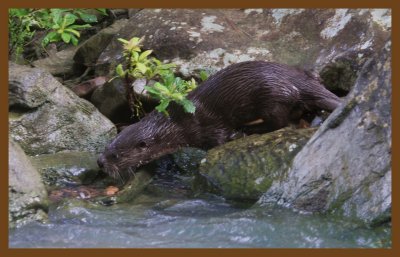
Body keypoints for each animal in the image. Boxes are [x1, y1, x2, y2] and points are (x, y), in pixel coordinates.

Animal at [97, 61, 340, 179]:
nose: (99, 162)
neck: (175, 124)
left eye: (116, 155)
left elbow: (221, 138)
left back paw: (253, 130)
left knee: (281, 122)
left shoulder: (208, 128)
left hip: (272, 96)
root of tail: (297, 81)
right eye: (106, 147)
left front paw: (237, 136)